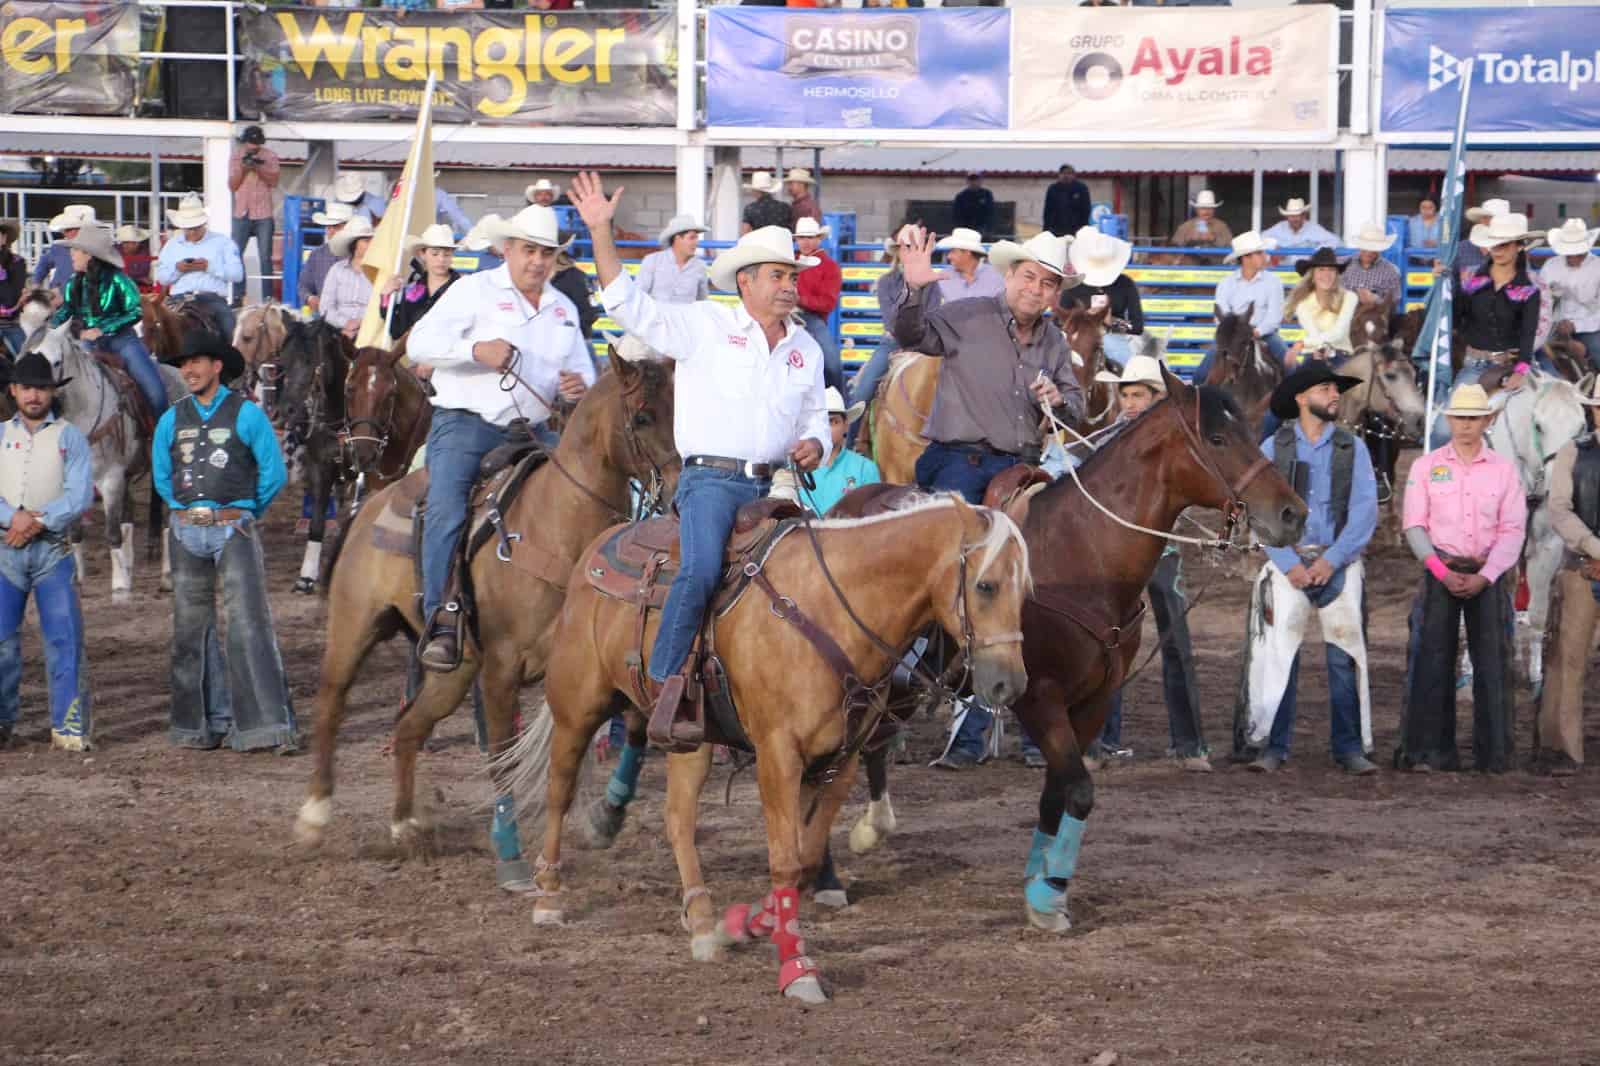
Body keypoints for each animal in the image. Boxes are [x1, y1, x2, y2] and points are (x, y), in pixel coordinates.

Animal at [294, 352, 681, 877]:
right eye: (642, 416)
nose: (681, 490)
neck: (555, 527)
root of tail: (369, 504)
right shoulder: (502, 669)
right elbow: (502, 757)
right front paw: (511, 854)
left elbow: (638, 725)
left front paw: (608, 815)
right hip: (354, 629)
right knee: (330, 707)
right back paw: (314, 816)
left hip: (454, 670)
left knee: (408, 727)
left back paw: (404, 826)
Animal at [518, 492, 1030, 998]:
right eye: (985, 586)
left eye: (1025, 591)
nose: (1010, 685)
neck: (831, 608)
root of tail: (600, 544)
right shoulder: (778, 755)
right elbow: (784, 861)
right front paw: (797, 968)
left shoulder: (838, 760)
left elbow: (806, 857)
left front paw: (743, 925)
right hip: (576, 711)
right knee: (559, 792)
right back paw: (548, 896)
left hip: (691, 739)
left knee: (678, 818)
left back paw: (702, 924)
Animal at [844, 368, 1305, 928]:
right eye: (1217, 438)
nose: (1293, 513)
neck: (1082, 554)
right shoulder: (1038, 696)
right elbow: (1080, 791)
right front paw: (1050, 892)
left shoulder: (1093, 699)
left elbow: (1057, 794)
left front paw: (1044, 887)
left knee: (873, 742)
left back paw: (871, 827)